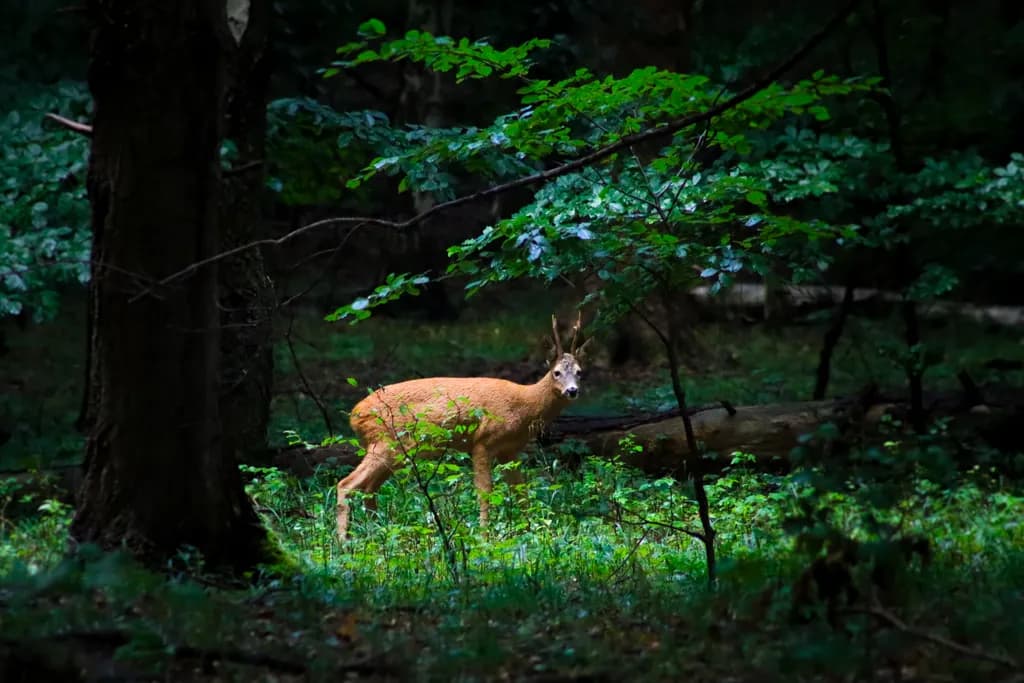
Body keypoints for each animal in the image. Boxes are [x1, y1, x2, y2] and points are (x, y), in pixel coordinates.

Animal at [335, 313, 591, 540]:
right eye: (556, 372)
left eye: (580, 372)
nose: (572, 391)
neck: (525, 405)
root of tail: (354, 415)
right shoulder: (482, 442)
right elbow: (484, 491)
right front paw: (485, 537)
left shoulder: (509, 450)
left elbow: (521, 492)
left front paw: (531, 532)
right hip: (384, 443)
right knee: (346, 484)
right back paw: (344, 543)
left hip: (394, 451)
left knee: (369, 488)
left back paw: (377, 533)